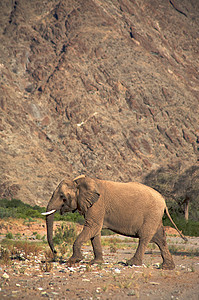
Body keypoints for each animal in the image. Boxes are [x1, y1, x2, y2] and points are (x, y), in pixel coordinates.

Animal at [42, 173, 187, 270]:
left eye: (62, 197)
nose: (55, 252)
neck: (80, 181)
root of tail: (164, 201)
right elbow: (95, 232)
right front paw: (96, 263)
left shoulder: (97, 204)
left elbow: (92, 227)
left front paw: (74, 260)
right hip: (155, 216)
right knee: (160, 239)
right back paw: (167, 267)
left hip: (151, 215)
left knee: (145, 237)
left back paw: (131, 263)